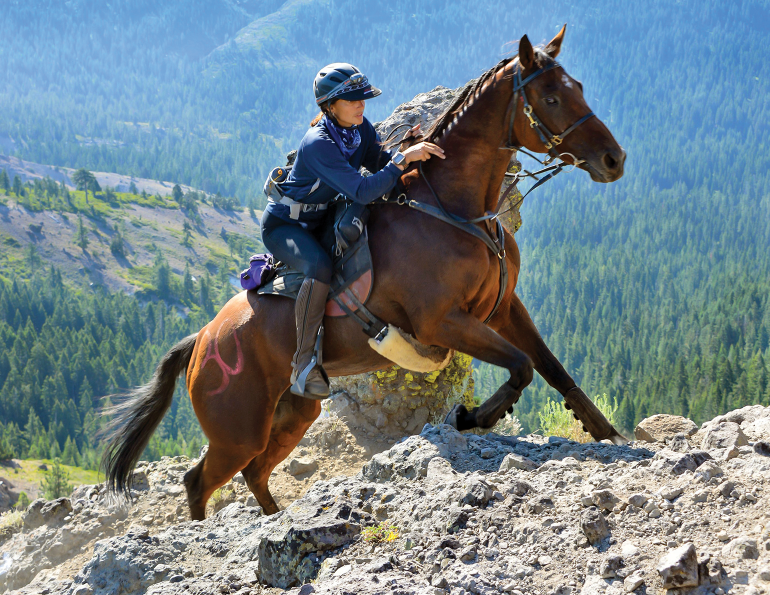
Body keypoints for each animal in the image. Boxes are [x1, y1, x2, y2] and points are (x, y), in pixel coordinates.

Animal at [103, 26, 627, 520]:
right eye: (551, 98)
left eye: (578, 87)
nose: (614, 159)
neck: (455, 208)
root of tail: (203, 339)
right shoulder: (442, 322)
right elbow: (520, 367)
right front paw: (468, 418)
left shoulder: (503, 308)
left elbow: (552, 369)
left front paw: (607, 432)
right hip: (239, 430)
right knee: (199, 482)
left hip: (294, 413)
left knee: (255, 473)